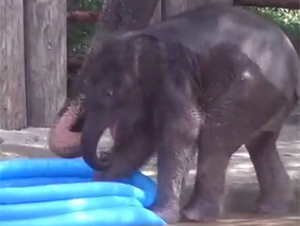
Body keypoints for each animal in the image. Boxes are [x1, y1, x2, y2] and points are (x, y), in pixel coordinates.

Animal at [78, 5, 298, 224]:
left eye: (108, 93)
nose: (103, 154)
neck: (143, 36)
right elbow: (141, 137)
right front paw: (102, 185)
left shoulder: (176, 78)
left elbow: (182, 131)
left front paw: (159, 215)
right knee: (261, 144)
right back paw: (270, 208)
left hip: (250, 90)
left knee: (215, 139)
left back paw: (195, 215)